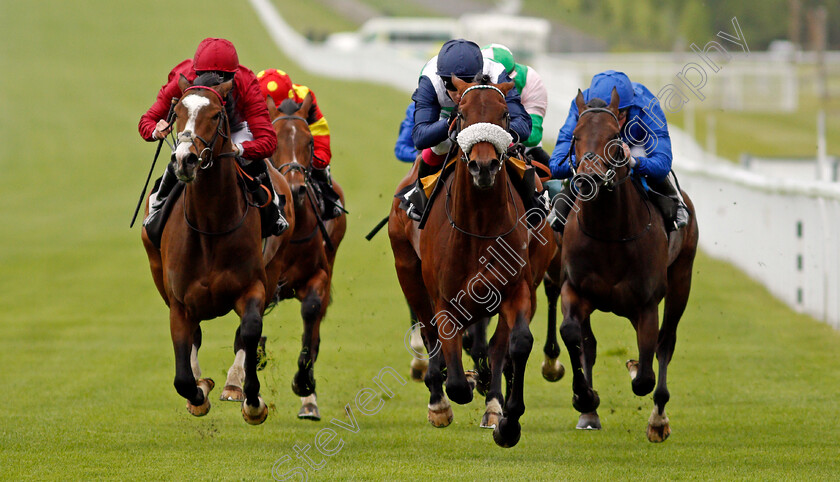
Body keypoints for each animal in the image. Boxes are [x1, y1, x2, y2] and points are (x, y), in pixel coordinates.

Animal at [139, 73, 294, 424]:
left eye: (215, 115)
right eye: (176, 113)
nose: (185, 159)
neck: (210, 226)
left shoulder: (253, 287)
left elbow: (249, 332)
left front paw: (252, 400)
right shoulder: (178, 302)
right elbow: (183, 374)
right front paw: (198, 393)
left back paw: (234, 386)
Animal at [220, 91, 348, 422]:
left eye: (311, 143)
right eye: (275, 141)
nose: (295, 188)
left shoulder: (318, 277)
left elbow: (311, 320)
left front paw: (304, 384)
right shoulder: (261, 278)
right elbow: (246, 331)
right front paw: (236, 382)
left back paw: (309, 401)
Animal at [388, 75, 556, 448]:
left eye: (505, 114)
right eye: (462, 115)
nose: (484, 166)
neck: (479, 224)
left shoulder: (517, 289)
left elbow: (515, 344)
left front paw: (507, 421)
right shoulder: (444, 298)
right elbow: (454, 374)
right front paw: (453, 386)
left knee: (495, 345)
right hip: (409, 273)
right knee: (430, 333)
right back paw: (438, 399)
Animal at [556, 88, 696, 442]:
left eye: (613, 138)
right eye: (575, 136)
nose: (587, 179)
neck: (608, 233)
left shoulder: (646, 304)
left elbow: (646, 373)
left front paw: (635, 371)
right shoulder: (574, 289)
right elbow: (572, 334)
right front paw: (584, 397)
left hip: (681, 280)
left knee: (665, 343)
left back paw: (658, 419)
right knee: (589, 343)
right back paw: (589, 413)